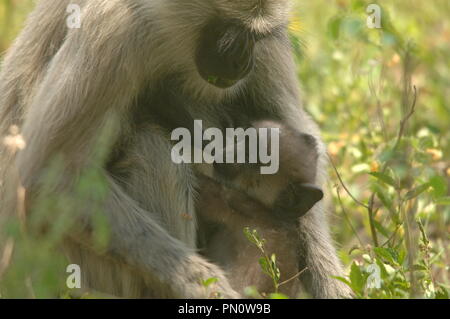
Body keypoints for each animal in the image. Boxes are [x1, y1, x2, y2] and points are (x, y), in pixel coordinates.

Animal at [0, 0, 352, 300]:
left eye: (254, 37)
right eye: (229, 36)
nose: (243, 61)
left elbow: (299, 131)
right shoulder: (113, 23)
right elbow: (49, 176)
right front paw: (205, 285)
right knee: (156, 146)